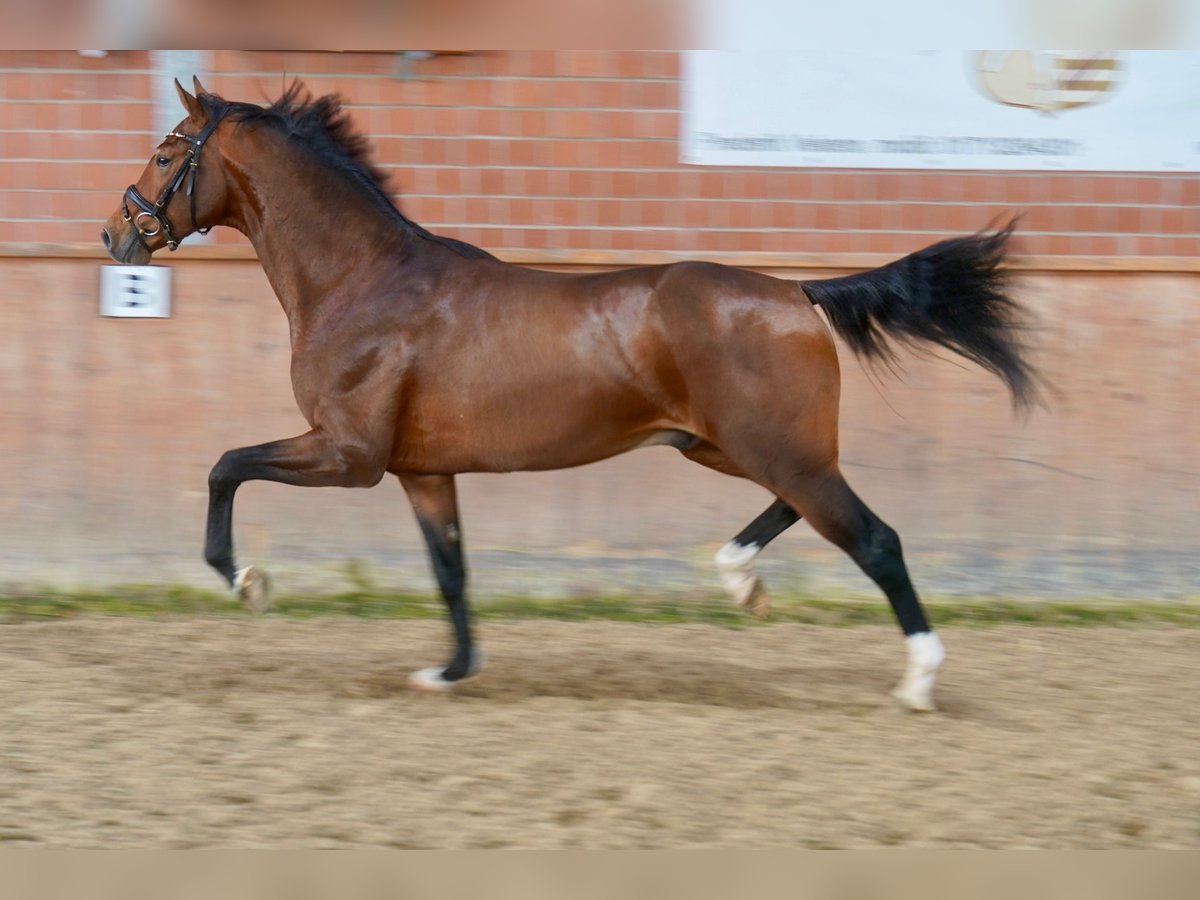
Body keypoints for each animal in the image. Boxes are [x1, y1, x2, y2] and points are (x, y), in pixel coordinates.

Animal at [103, 79, 1036, 710]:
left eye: (166, 149)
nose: (116, 232)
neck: (360, 282)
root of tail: (796, 292)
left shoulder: (347, 454)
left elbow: (226, 465)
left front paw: (248, 582)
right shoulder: (421, 471)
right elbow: (451, 569)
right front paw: (450, 671)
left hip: (769, 447)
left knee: (874, 538)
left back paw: (917, 681)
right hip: (730, 446)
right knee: (807, 511)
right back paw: (740, 581)